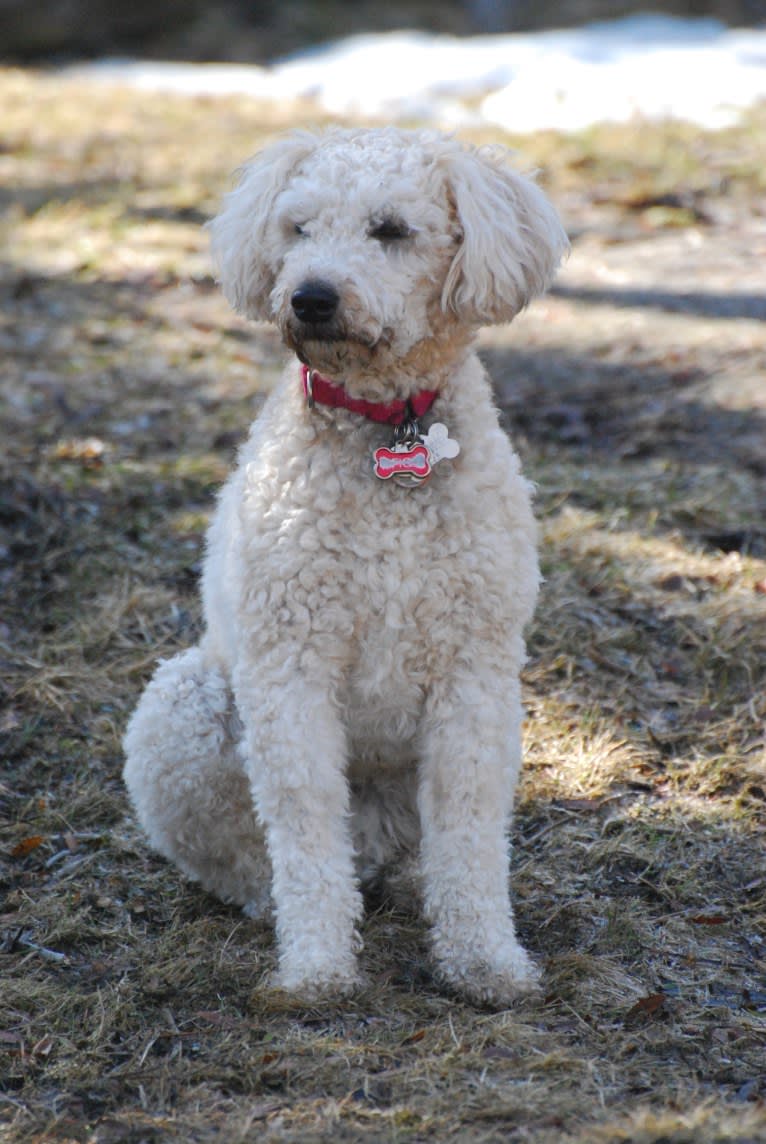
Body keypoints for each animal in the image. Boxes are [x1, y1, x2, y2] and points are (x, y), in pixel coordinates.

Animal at [124, 122, 569, 1002]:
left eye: (390, 230)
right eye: (296, 228)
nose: (311, 297)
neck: (385, 424)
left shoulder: (475, 671)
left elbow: (470, 828)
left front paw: (485, 961)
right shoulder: (291, 664)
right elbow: (301, 824)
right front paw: (316, 967)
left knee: (416, 852)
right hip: (184, 704)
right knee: (249, 856)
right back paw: (274, 904)